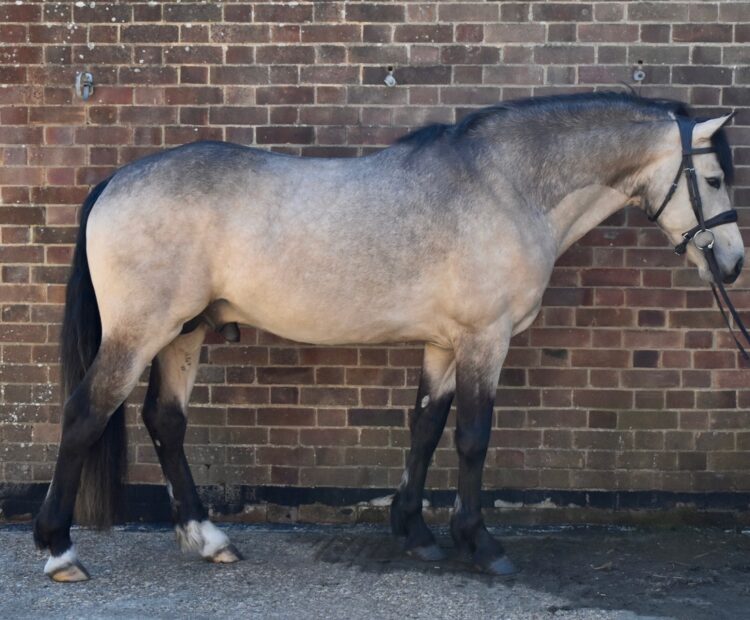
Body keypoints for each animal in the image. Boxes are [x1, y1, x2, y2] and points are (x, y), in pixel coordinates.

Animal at [33, 92, 744, 581]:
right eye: (713, 180)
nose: (734, 263)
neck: (503, 187)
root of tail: (116, 181)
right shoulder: (485, 339)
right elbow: (472, 436)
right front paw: (480, 543)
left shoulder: (444, 344)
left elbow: (425, 427)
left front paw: (415, 531)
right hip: (141, 333)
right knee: (84, 415)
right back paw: (60, 550)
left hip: (184, 334)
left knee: (165, 421)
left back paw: (209, 540)